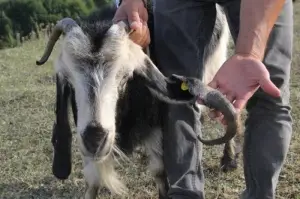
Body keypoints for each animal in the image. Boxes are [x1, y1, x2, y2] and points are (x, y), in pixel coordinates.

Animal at [35, 3, 241, 199]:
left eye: (125, 77)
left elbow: (159, 172)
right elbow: (92, 182)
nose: (95, 140)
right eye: (69, 81)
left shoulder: (157, 126)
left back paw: (228, 160)